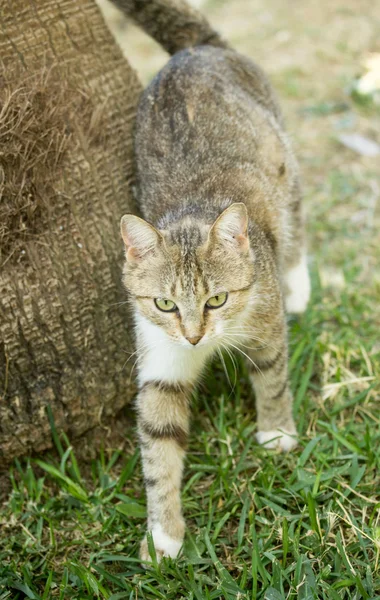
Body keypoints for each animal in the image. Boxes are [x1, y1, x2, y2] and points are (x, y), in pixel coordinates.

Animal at [114, 0, 310, 564]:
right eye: (164, 304)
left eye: (217, 299)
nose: (195, 336)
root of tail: (194, 50)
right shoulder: (159, 360)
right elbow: (158, 445)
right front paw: (162, 533)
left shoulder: (265, 328)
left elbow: (272, 377)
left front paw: (276, 432)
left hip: (285, 165)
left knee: (297, 221)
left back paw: (300, 284)